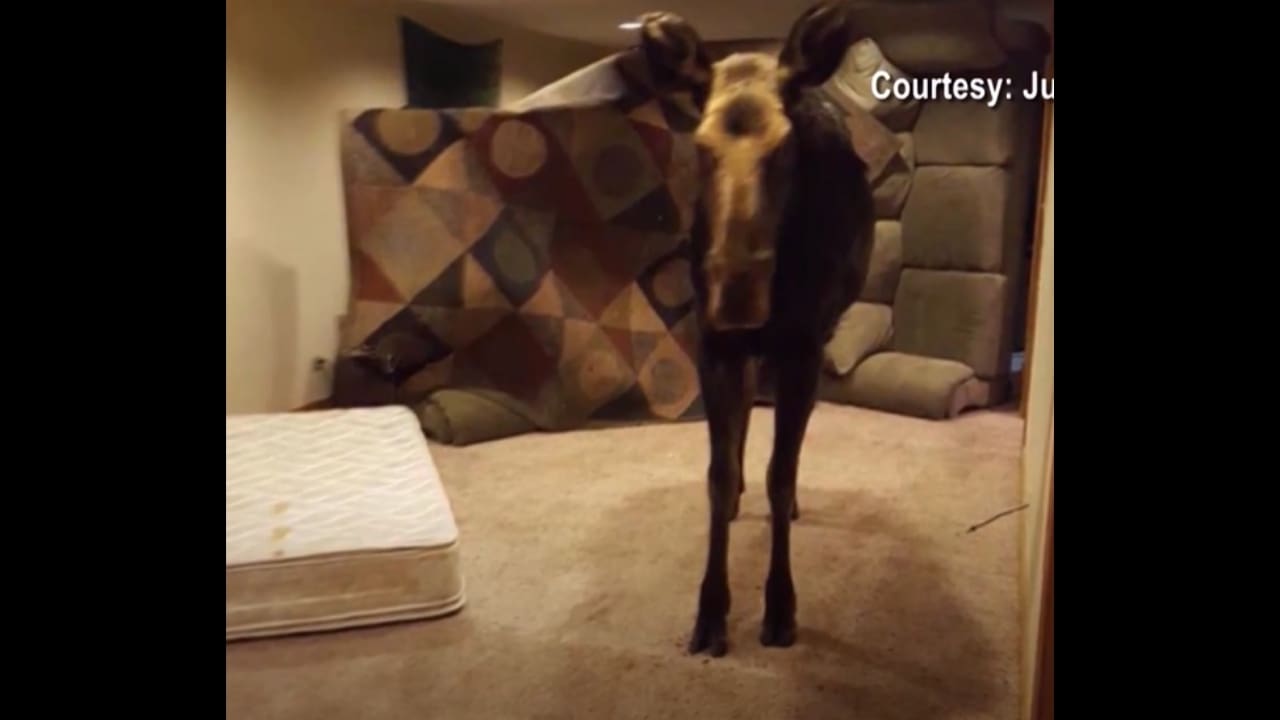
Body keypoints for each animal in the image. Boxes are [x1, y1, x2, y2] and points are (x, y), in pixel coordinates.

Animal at [636, 1, 875, 657]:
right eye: (701, 146)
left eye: (784, 148)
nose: (736, 295)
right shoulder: (715, 347)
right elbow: (717, 476)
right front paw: (711, 613)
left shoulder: (801, 348)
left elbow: (781, 473)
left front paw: (780, 607)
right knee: (743, 418)